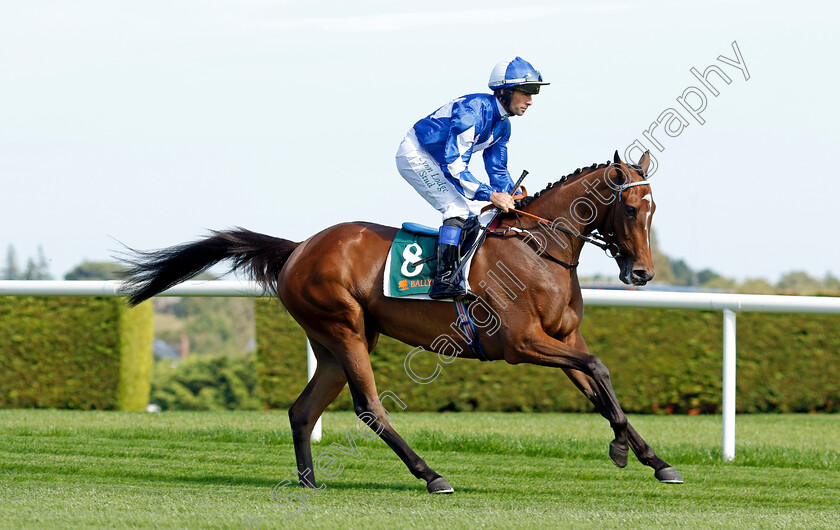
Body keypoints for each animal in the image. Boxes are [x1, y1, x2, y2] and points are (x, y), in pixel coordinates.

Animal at [121, 151, 684, 492]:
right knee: (368, 407)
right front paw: (621, 449)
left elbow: (598, 385)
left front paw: (654, 460)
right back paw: (430, 474)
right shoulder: (521, 343)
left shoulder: (562, 337)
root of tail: (298, 247)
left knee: (303, 410)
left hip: (333, 342)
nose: (641, 273)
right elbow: (600, 369)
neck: (539, 250)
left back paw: (309, 480)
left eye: (654, 209)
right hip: (344, 328)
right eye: (630, 208)